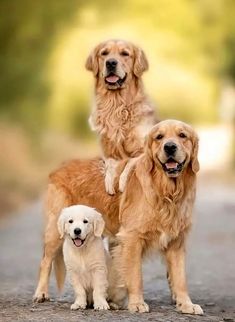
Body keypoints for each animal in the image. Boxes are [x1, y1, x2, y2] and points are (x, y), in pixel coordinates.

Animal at [32, 119, 202, 316]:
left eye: (182, 135)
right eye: (159, 137)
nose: (170, 147)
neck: (166, 192)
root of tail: (60, 166)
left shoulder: (176, 242)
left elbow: (180, 278)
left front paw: (186, 304)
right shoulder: (132, 238)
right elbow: (136, 276)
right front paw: (137, 303)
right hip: (55, 231)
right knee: (45, 261)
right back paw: (41, 293)